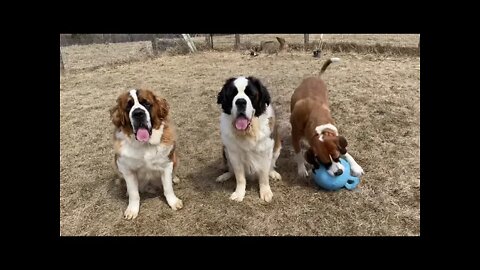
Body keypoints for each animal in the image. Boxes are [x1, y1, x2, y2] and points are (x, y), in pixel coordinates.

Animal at [109, 88, 183, 219]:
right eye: (129, 106)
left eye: (146, 103)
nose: (138, 113)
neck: (145, 145)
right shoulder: (127, 169)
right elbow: (134, 193)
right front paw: (132, 209)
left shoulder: (166, 164)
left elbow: (168, 187)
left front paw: (173, 202)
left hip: (175, 158)